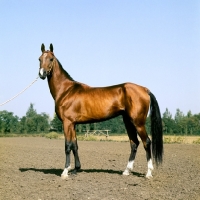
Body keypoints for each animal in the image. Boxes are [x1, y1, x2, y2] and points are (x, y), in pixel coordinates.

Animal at [38, 43, 162, 180]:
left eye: (51, 59)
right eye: (39, 59)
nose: (42, 74)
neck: (66, 90)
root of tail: (145, 89)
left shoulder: (67, 123)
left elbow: (67, 145)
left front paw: (65, 171)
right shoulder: (73, 124)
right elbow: (75, 145)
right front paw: (76, 169)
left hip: (138, 123)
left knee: (147, 142)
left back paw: (148, 173)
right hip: (128, 122)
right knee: (134, 143)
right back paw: (126, 171)